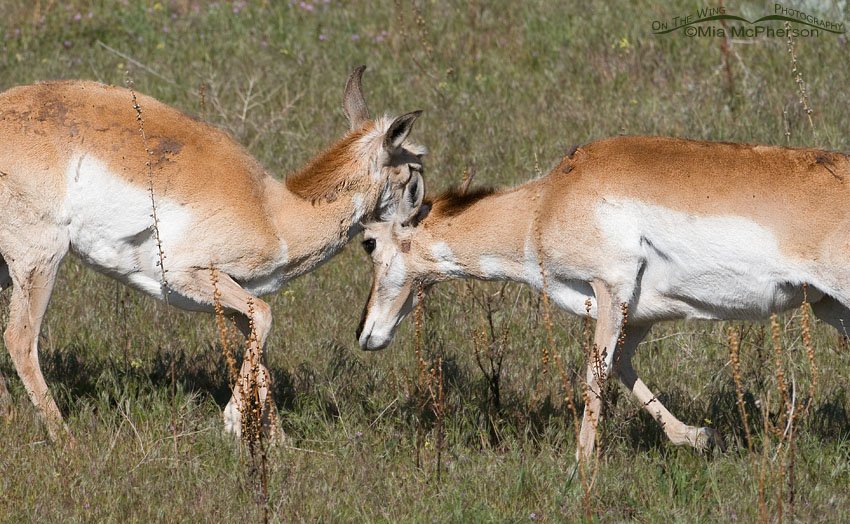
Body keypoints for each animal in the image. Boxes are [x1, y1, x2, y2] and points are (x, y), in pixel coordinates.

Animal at [0, 66, 426, 442]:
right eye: (414, 179)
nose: (422, 226)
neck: (274, 211)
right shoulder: (191, 274)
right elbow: (267, 317)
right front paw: (233, 422)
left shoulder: (235, 299)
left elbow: (260, 348)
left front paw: (279, 445)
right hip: (42, 259)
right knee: (19, 339)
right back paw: (66, 439)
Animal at [356, 135, 850, 461]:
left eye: (369, 242)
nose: (364, 334)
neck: (545, 203)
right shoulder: (638, 315)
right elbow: (621, 367)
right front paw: (699, 437)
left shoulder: (610, 289)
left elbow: (594, 377)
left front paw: (581, 467)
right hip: (832, 308)